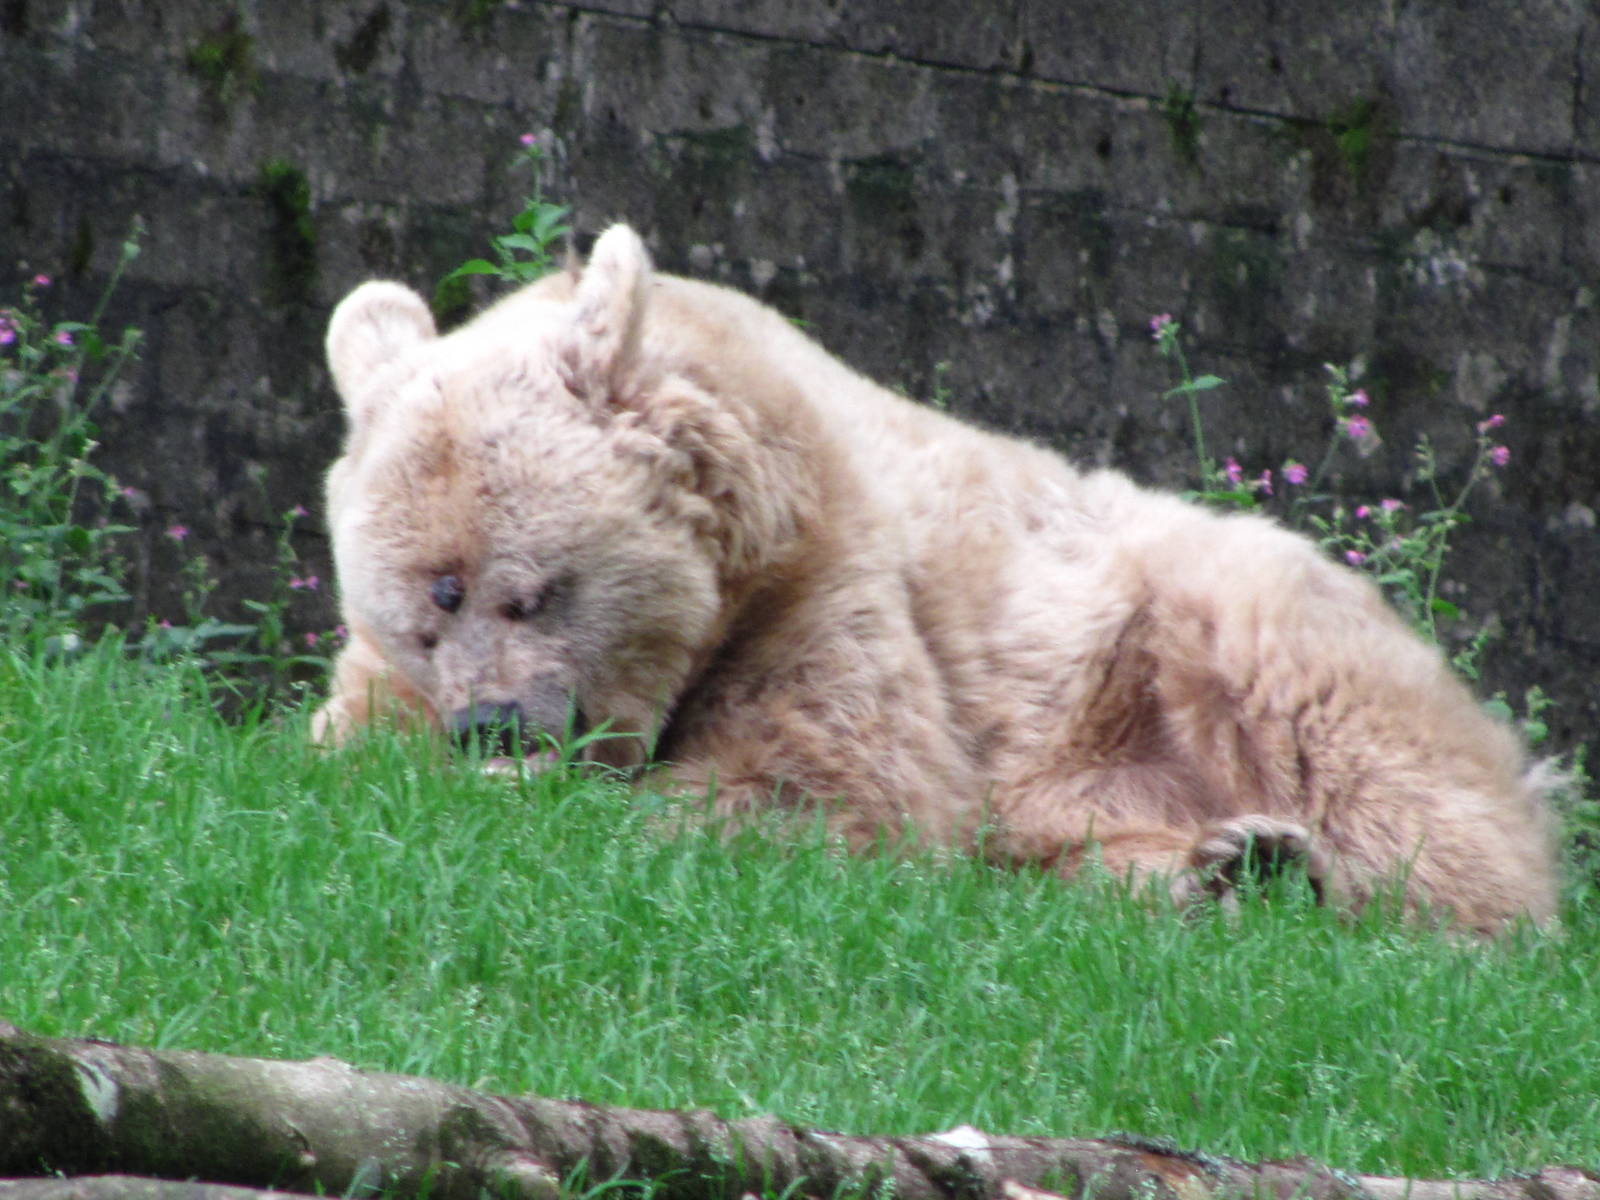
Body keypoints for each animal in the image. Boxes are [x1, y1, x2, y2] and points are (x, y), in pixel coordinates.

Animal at [314, 223, 1558, 935]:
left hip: (1217, 622)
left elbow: (833, 787)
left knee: (1369, 761)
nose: (489, 724)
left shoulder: (834, 594)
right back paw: (1228, 867)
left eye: (528, 588)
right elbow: (341, 738)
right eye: (428, 610)